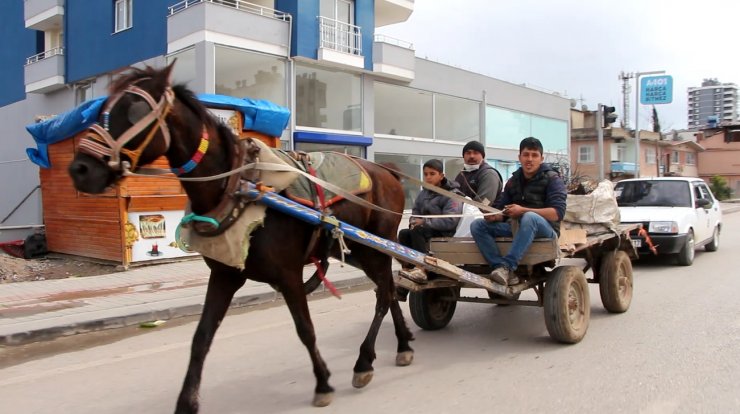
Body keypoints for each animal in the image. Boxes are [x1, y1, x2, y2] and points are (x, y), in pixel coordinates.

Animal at [66, 64, 414, 410]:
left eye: (135, 110)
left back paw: (365, 361)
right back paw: (403, 343)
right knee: (388, 290)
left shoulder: (288, 274)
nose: (80, 169)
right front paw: (187, 401)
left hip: (377, 246)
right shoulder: (224, 274)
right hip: (361, 250)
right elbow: (201, 337)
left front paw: (323, 382)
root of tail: (387, 171)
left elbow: (305, 329)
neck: (239, 186)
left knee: (384, 294)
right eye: (102, 108)